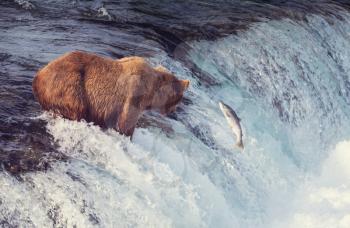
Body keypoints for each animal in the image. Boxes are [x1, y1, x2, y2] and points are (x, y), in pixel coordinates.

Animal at [33, 51, 189, 136]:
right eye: (180, 98)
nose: (173, 111)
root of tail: (38, 76)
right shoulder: (134, 94)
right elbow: (126, 123)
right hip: (70, 86)